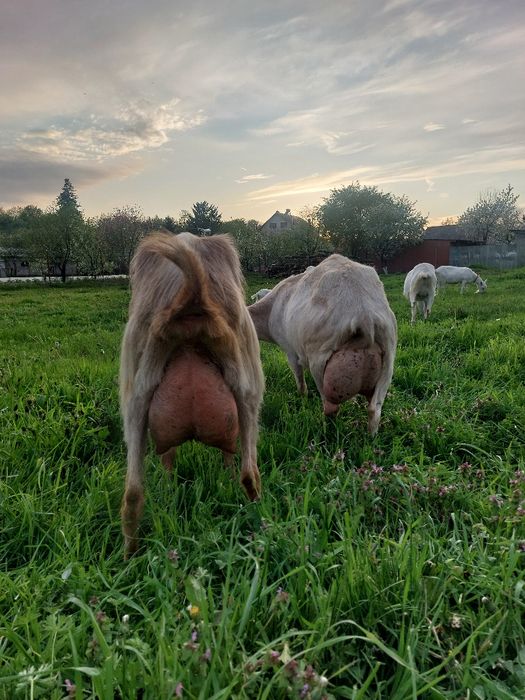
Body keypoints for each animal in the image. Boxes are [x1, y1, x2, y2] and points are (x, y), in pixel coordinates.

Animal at [120, 231, 264, 558]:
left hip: (136, 397)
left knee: (133, 492)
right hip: (248, 386)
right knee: (249, 473)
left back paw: (130, 554)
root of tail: (192, 295)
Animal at [249, 254, 397, 435]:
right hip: (388, 360)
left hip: (319, 362)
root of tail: (365, 316)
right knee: (374, 409)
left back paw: (326, 432)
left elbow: (299, 378)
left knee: (331, 407)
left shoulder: (290, 350)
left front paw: (302, 398)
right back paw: (371, 438)